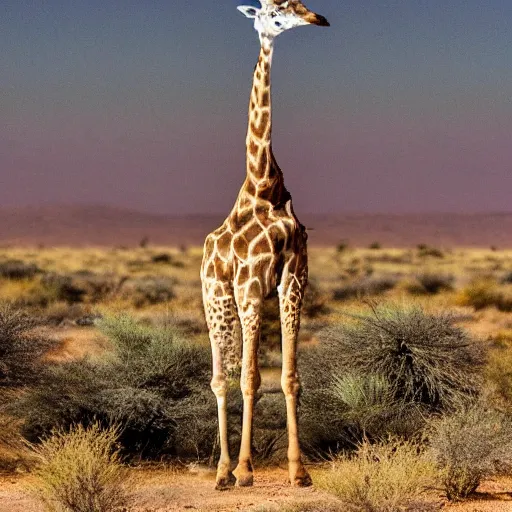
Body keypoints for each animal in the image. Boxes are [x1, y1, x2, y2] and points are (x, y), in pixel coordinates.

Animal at [200, 0, 328, 490]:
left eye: (300, 5)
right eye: (273, 11)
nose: (317, 19)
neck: (263, 183)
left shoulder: (294, 277)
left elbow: (289, 376)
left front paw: (299, 470)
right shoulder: (251, 285)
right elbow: (250, 378)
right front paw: (246, 469)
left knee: (228, 373)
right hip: (216, 298)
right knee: (221, 377)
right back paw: (223, 471)